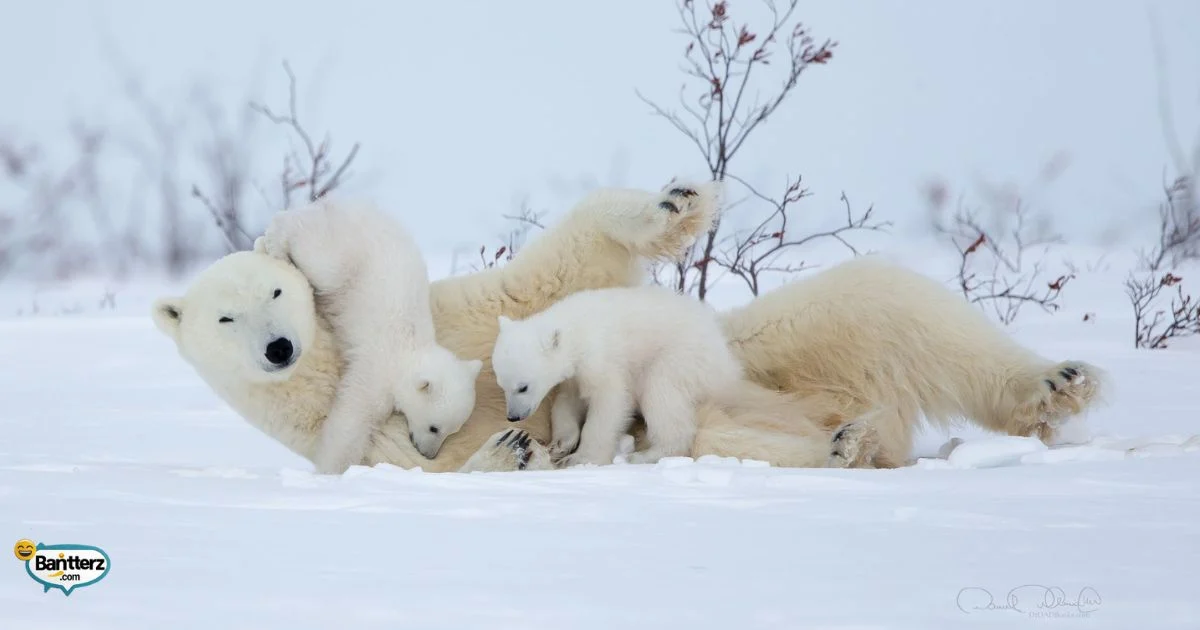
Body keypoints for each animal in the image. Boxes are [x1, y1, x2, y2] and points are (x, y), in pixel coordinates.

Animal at [254, 198, 483, 471]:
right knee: (318, 258)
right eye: (434, 427)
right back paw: (274, 241)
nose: (428, 454)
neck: (410, 350)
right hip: (347, 255)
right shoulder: (378, 370)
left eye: (452, 431)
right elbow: (353, 416)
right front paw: (334, 467)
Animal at [491, 284, 744, 467]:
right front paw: (560, 444)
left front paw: (580, 458)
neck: (578, 330)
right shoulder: (575, 376)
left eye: (523, 387)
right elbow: (567, 401)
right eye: (502, 385)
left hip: (680, 358)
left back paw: (644, 455)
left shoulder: (602, 359)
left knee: (661, 396)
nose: (513, 416)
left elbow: (610, 402)